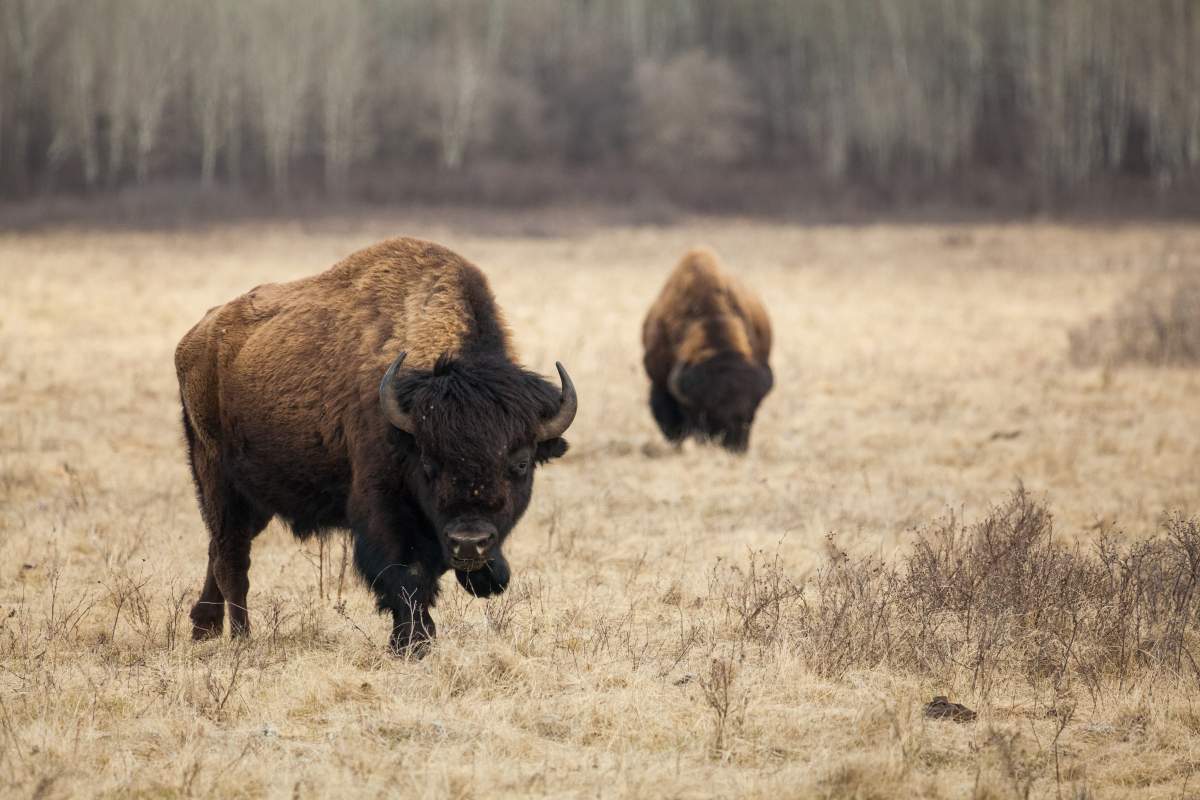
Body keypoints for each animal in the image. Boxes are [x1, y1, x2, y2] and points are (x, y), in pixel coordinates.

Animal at [175, 238, 576, 655]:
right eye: (428, 462)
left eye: (520, 463)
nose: (469, 544)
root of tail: (195, 337)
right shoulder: (383, 508)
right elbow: (407, 575)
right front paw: (412, 643)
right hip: (217, 478)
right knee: (232, 557)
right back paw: (241, 637)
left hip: (257, 498)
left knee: (217, 549)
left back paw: (204, 627)